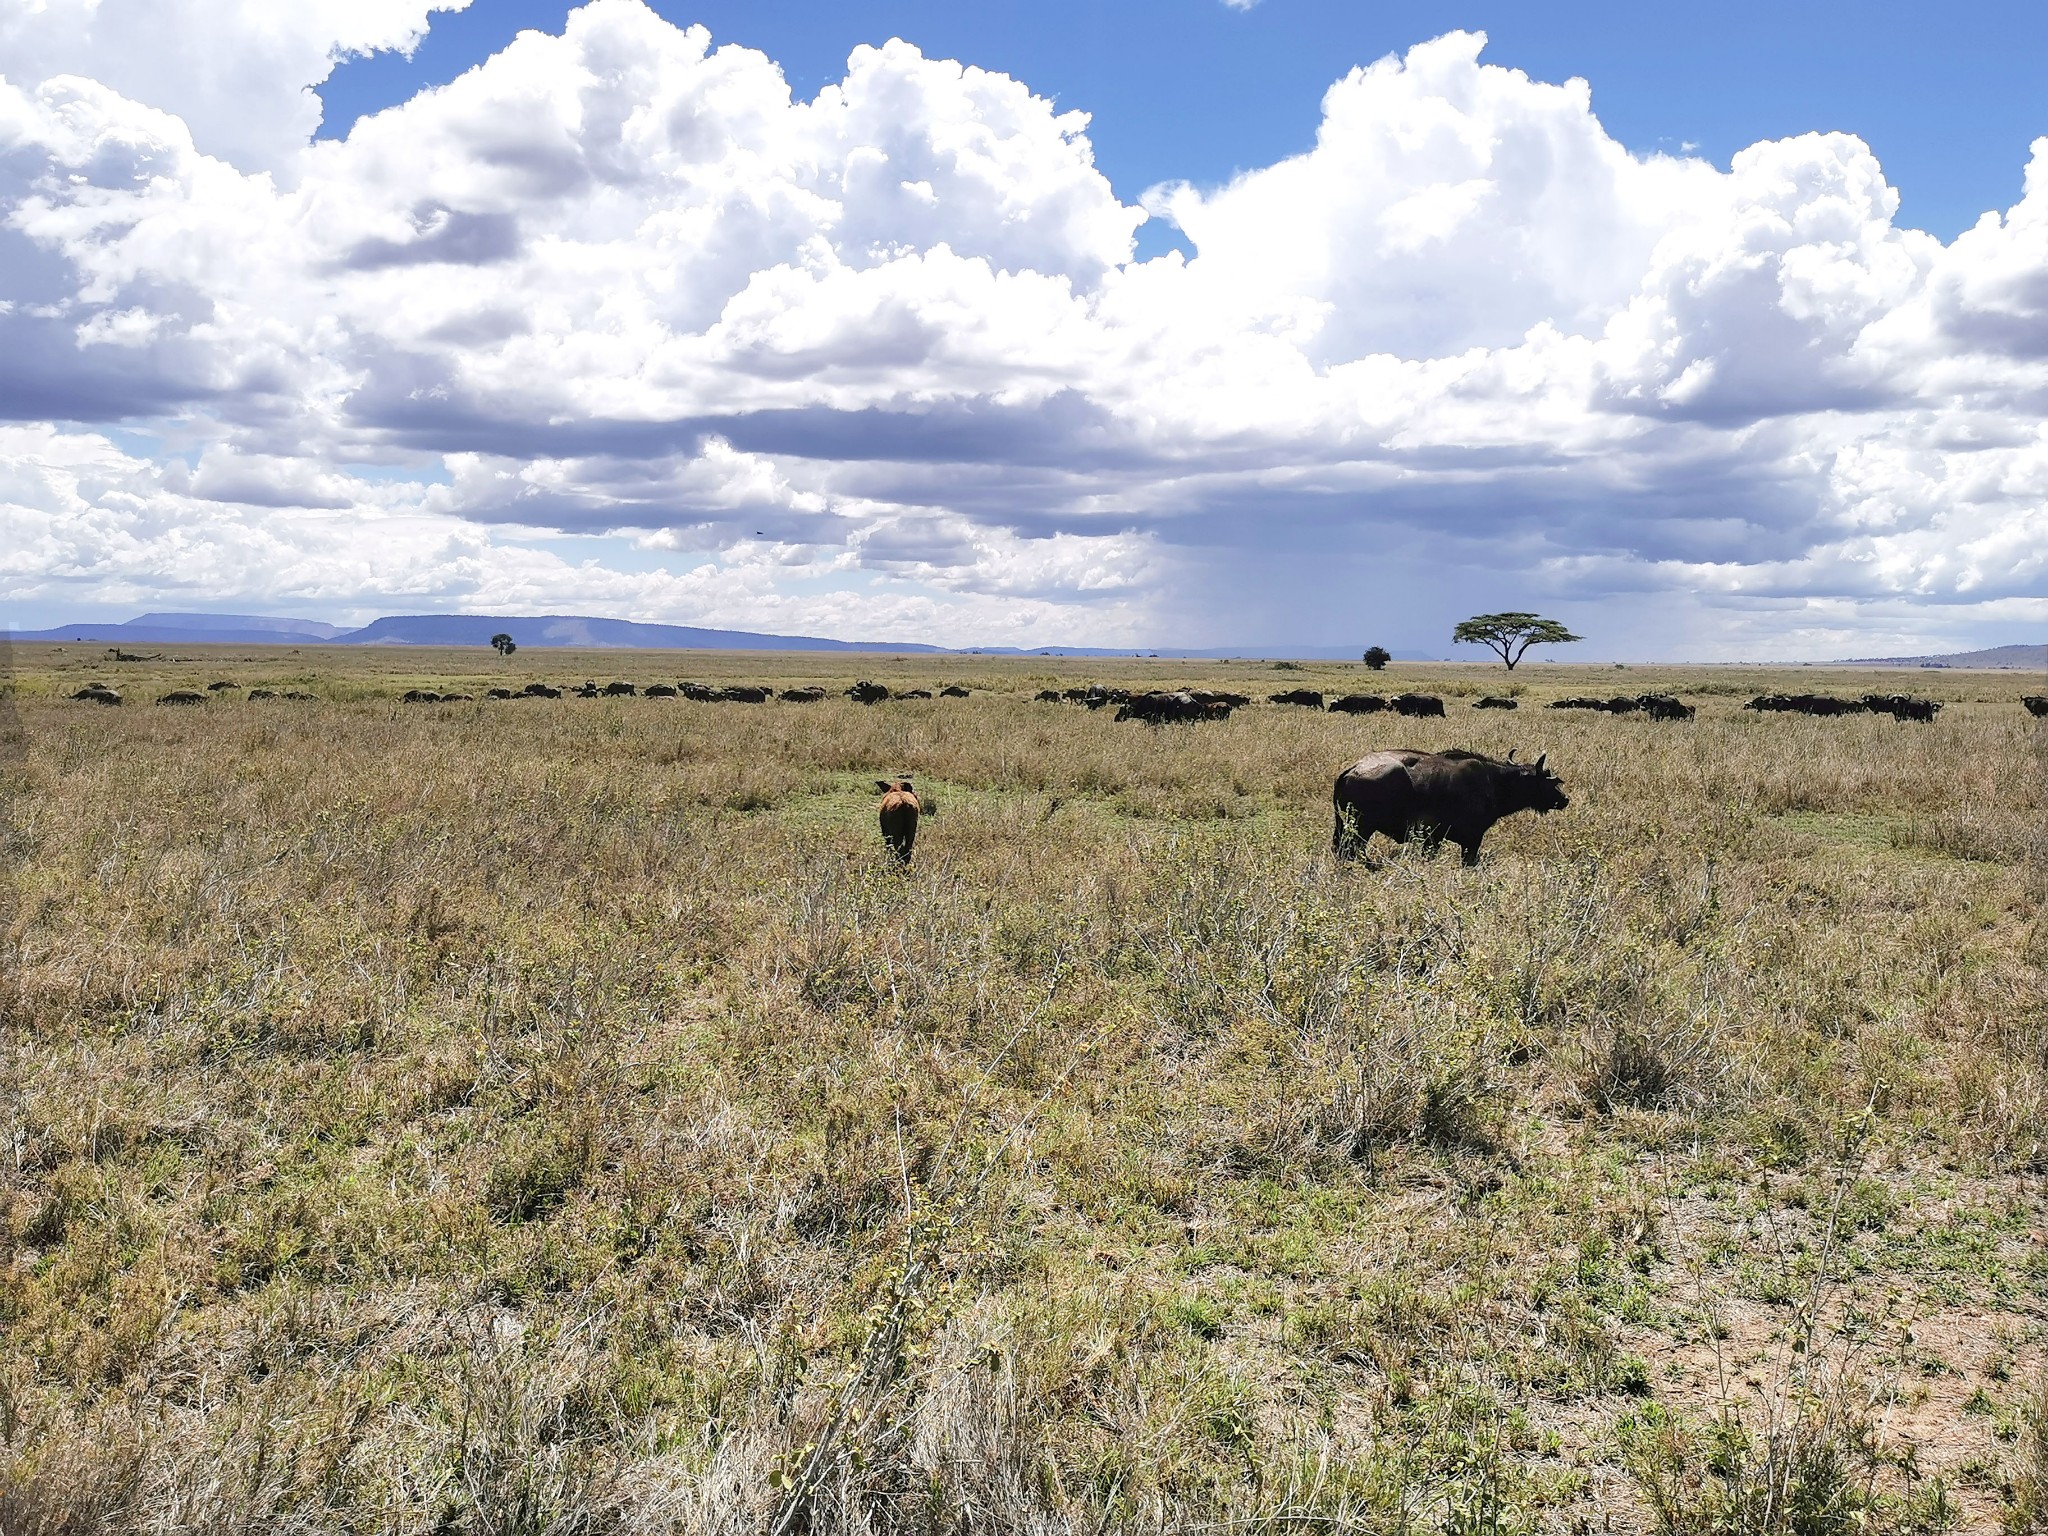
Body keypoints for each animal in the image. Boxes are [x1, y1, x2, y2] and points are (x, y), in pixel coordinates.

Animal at [1335, 753, 1572, 872]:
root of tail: (1353, 770)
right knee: (1352, 851)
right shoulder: (1471, 840)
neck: (1494, 783)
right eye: (1546, 779)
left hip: (1343, 826)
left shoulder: (1434, 840)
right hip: (1362, 828)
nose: (1564, 799)